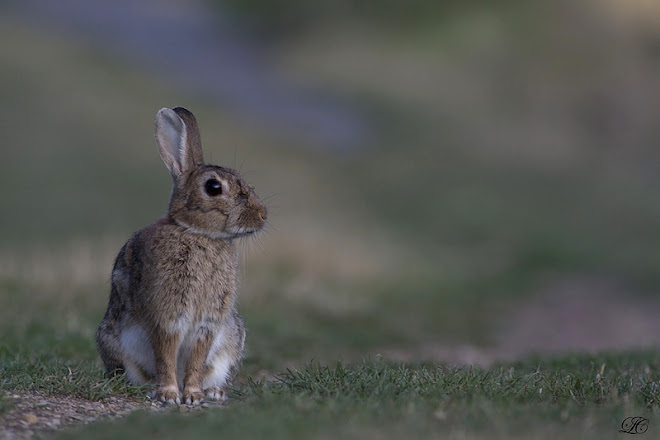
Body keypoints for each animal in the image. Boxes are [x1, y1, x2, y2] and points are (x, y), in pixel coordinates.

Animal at [95, 106, 266, 406]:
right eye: (213, 187)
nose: (262, 214)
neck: (198, 234)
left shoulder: (207, 323)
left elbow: (196, 360)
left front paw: (194, 396)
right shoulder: (167, 316)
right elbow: (165, 356)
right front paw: (169, 395)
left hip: (232, 339)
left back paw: (215, 392)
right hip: (114, 341)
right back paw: (150, 389)